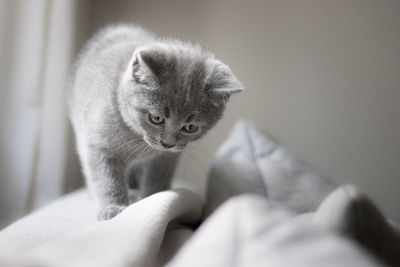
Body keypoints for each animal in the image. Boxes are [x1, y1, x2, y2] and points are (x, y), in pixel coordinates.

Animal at [69, 25, 242, 221]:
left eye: (190, 127)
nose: (167, 143)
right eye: (156, 118)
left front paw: (152, 198)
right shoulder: (99, 145)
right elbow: (106, 178)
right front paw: (113, 208)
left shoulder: (166, 157)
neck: (137, 138)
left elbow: (157, 178)